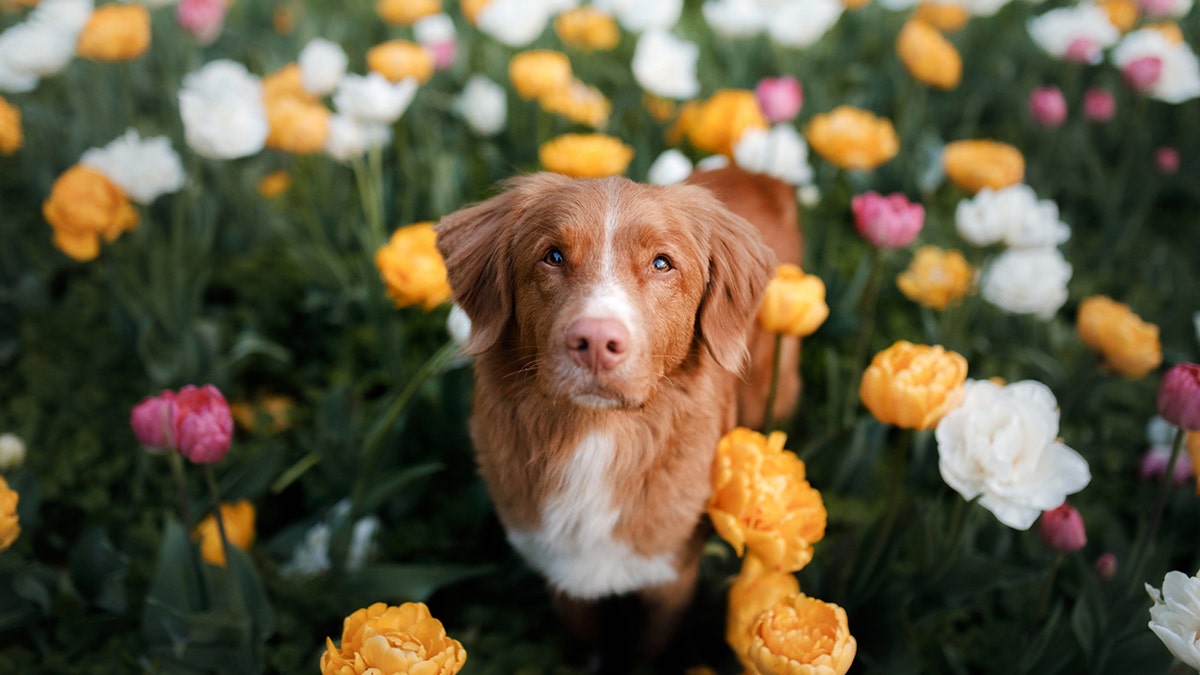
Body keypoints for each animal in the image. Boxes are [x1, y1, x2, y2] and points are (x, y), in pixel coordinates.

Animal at [436, 165, 801, 658]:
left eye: (662, 263)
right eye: (552, 256)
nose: (595, 342)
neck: (597, 434)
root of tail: (757, 173)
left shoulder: (670, 580)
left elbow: (649, 647)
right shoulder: (560, 570)